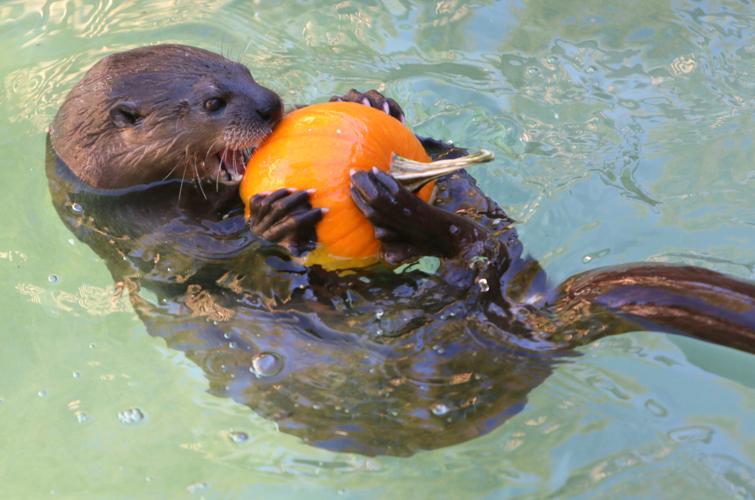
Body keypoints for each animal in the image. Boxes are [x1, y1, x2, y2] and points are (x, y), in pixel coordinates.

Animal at [47, 45, 754, 456]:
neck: (133, 198)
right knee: (472, 252)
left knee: (477, 223)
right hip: (438, 351)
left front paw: (369, 99)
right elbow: (206, 260)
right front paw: (273, 218)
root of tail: (527, 324)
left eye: (245, 72)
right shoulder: (147, 238)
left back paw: (405, 187)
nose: (271, 103)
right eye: (213, 101)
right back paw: (403, 216)